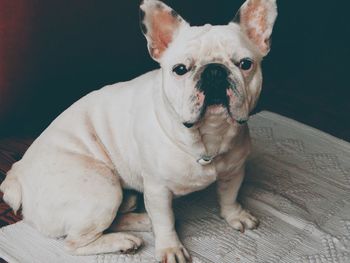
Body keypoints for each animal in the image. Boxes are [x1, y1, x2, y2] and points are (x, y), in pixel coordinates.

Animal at [1, 1, 278, 262]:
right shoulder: (158, 190)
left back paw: (141, 222)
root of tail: (17, 175)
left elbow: (229, 196)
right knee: (74, 243)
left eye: (246, 64)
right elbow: (165, 221)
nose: (214, 70)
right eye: (180, 69)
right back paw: (123, 240)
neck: (207, 136)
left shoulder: (235, 171)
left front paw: (235, 215)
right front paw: (170, 248)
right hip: (103, 188)